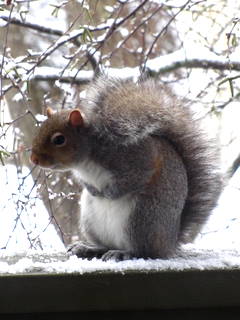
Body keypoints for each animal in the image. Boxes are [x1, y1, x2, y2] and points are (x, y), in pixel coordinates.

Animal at [31, 76, 222, 262]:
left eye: (59, 139)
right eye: (39, 131)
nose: (34, 159)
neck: (87, 158)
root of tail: (170, 243)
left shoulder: (138, 158)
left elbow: (133, 179)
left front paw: (110, 194)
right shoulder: (82, 174)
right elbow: (86, 183)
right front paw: (94, 190)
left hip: (141, 219)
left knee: (145, 252)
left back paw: (123, 253)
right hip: (91, 222)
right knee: (105, 246)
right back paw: (89, 248)